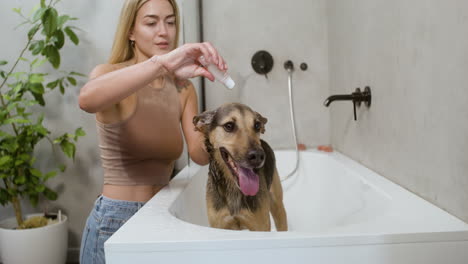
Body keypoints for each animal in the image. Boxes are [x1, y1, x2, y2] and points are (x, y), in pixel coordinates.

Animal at [192, 103, 288, 231]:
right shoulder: (219, 225)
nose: (258, 156)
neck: (233, 188)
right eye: (229, 126)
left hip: (277, 205)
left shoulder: (260, 226)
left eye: (257, 125)